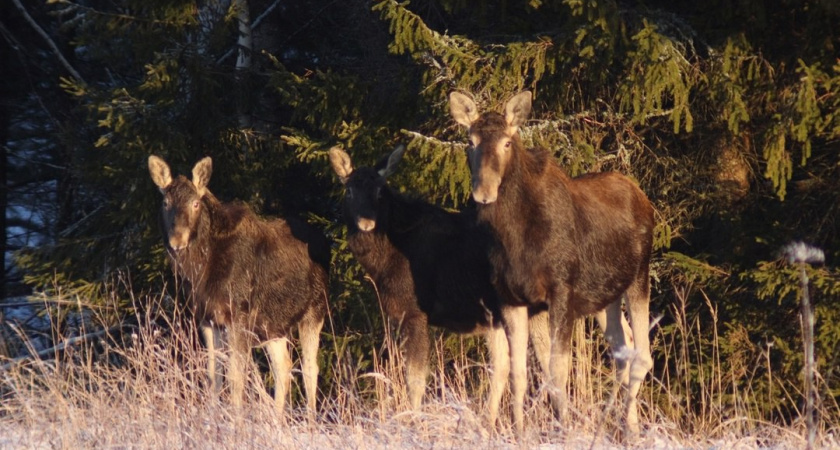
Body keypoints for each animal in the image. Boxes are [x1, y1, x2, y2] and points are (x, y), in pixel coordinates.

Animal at [148, 156, 328, 416]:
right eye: (165, 202)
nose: (177, 240)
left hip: (314, 312)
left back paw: (310, 420)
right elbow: (213, 376)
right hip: (273, 325)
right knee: (283, 366)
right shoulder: (207, 319)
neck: (200, 271)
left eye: (195, 203)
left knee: (309, 368)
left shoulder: (238, 319)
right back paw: (277, 421)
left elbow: (235, 379)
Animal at [328, 146, 552, 428]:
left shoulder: (414, 312)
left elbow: (414, 380)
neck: (383, 260)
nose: (366, 224)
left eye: (379, 192)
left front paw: (413, 423)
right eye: (349, 191)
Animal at [452, 89, 656, 438]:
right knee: (623, 347)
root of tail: (643, 197)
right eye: (471, 141)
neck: (513, 236)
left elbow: (558, 369)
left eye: (507, 142)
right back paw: (610, 420)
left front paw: (565, 428)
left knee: (642, 354)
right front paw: (519, 431)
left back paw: (628, 428)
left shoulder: (562, 292)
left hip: (638, 278)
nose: (484, 192)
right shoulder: (514, 299)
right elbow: (520, 371)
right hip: (604, 297)